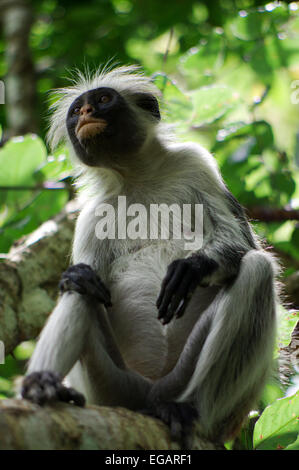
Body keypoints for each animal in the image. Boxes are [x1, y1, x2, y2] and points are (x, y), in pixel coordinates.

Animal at [21, 64, 278, 446]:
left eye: (103, 99)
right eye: (76, 110)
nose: (86, 112)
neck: (137, 177)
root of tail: (151, 393)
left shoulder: (195, 162)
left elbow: (243, 246)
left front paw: (193, 267)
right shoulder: (92, 214)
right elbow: (84, 275)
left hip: (189, 386)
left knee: (257, 270)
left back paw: (188, 410)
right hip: (113, 388)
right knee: (82, 287)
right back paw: (43, 385)